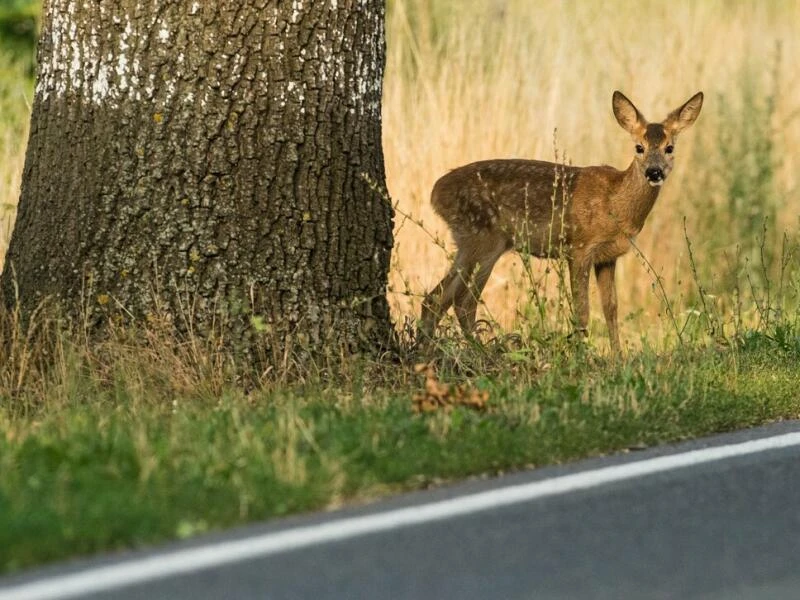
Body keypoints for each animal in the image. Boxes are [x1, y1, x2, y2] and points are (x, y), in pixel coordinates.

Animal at [422, 89, 704, 352]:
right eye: (639, 147)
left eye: (669, 148)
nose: (654, 172)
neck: (616, 204)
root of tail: (436, 192)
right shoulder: (578, 248)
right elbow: (582, 311)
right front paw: (583, 356)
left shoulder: (607, 256)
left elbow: (611, 309)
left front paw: (617, 358)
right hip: (484, 239)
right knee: (463, 301)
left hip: (468, 243)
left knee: (436, 298)